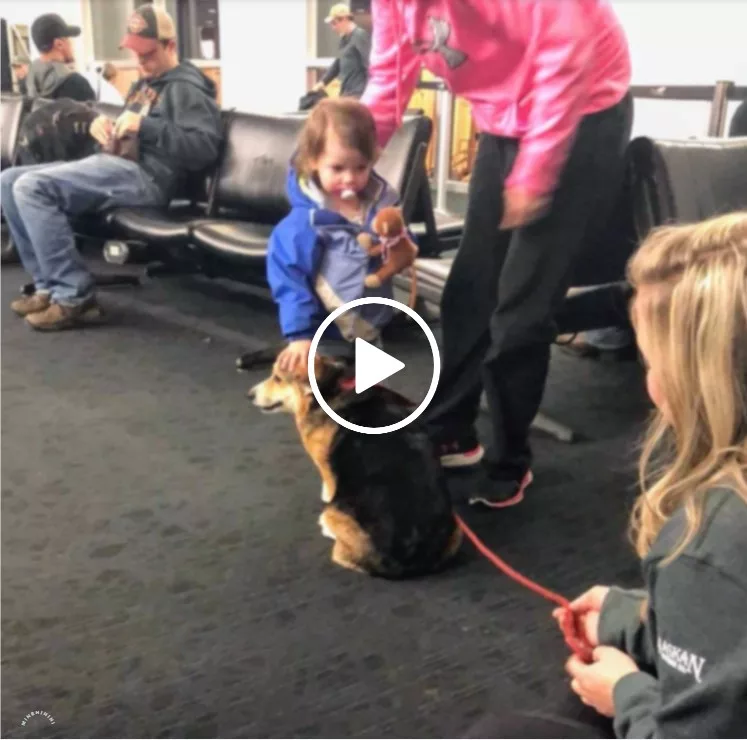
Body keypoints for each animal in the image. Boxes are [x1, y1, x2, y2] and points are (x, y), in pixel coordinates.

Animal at [250, 354, 462, 580]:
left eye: (277, 378)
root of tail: (406, 561)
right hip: (456, 531)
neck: (332, 387)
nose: (249, 395)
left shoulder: (325, 467)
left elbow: (328, 485)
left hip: (335, 512)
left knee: (339, 550)